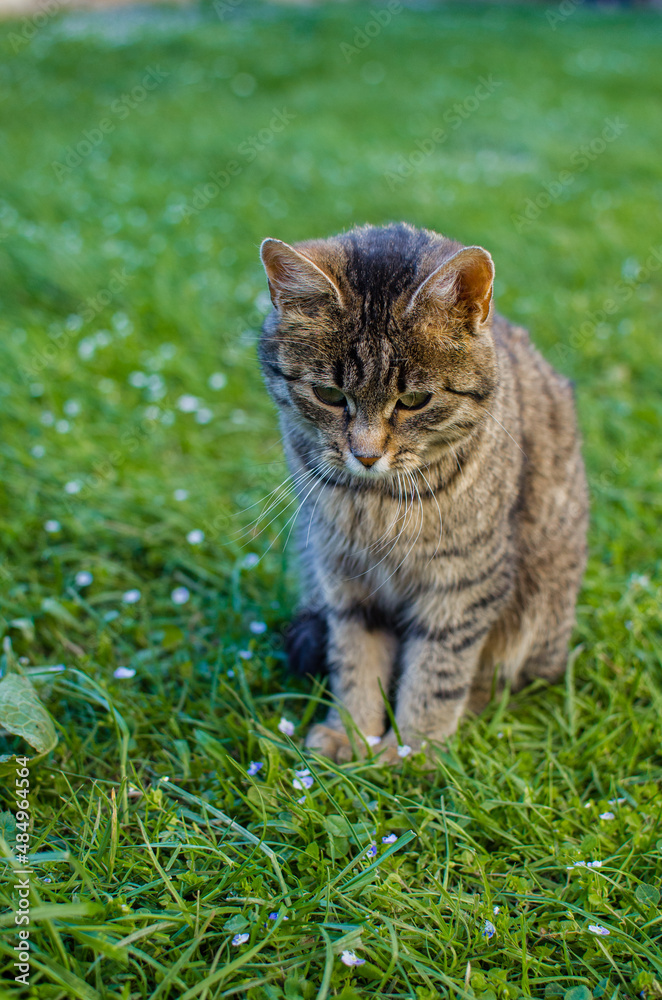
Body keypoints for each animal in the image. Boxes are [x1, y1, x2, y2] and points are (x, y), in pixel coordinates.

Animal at [256, 223, 588, 760]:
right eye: (329, 395)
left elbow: (437, 672)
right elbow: (355, 659)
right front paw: (354, 734)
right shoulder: (342, 574)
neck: (377, 502)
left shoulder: (464, 583)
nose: (366, 454)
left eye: (414, 400)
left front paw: (413, 751)